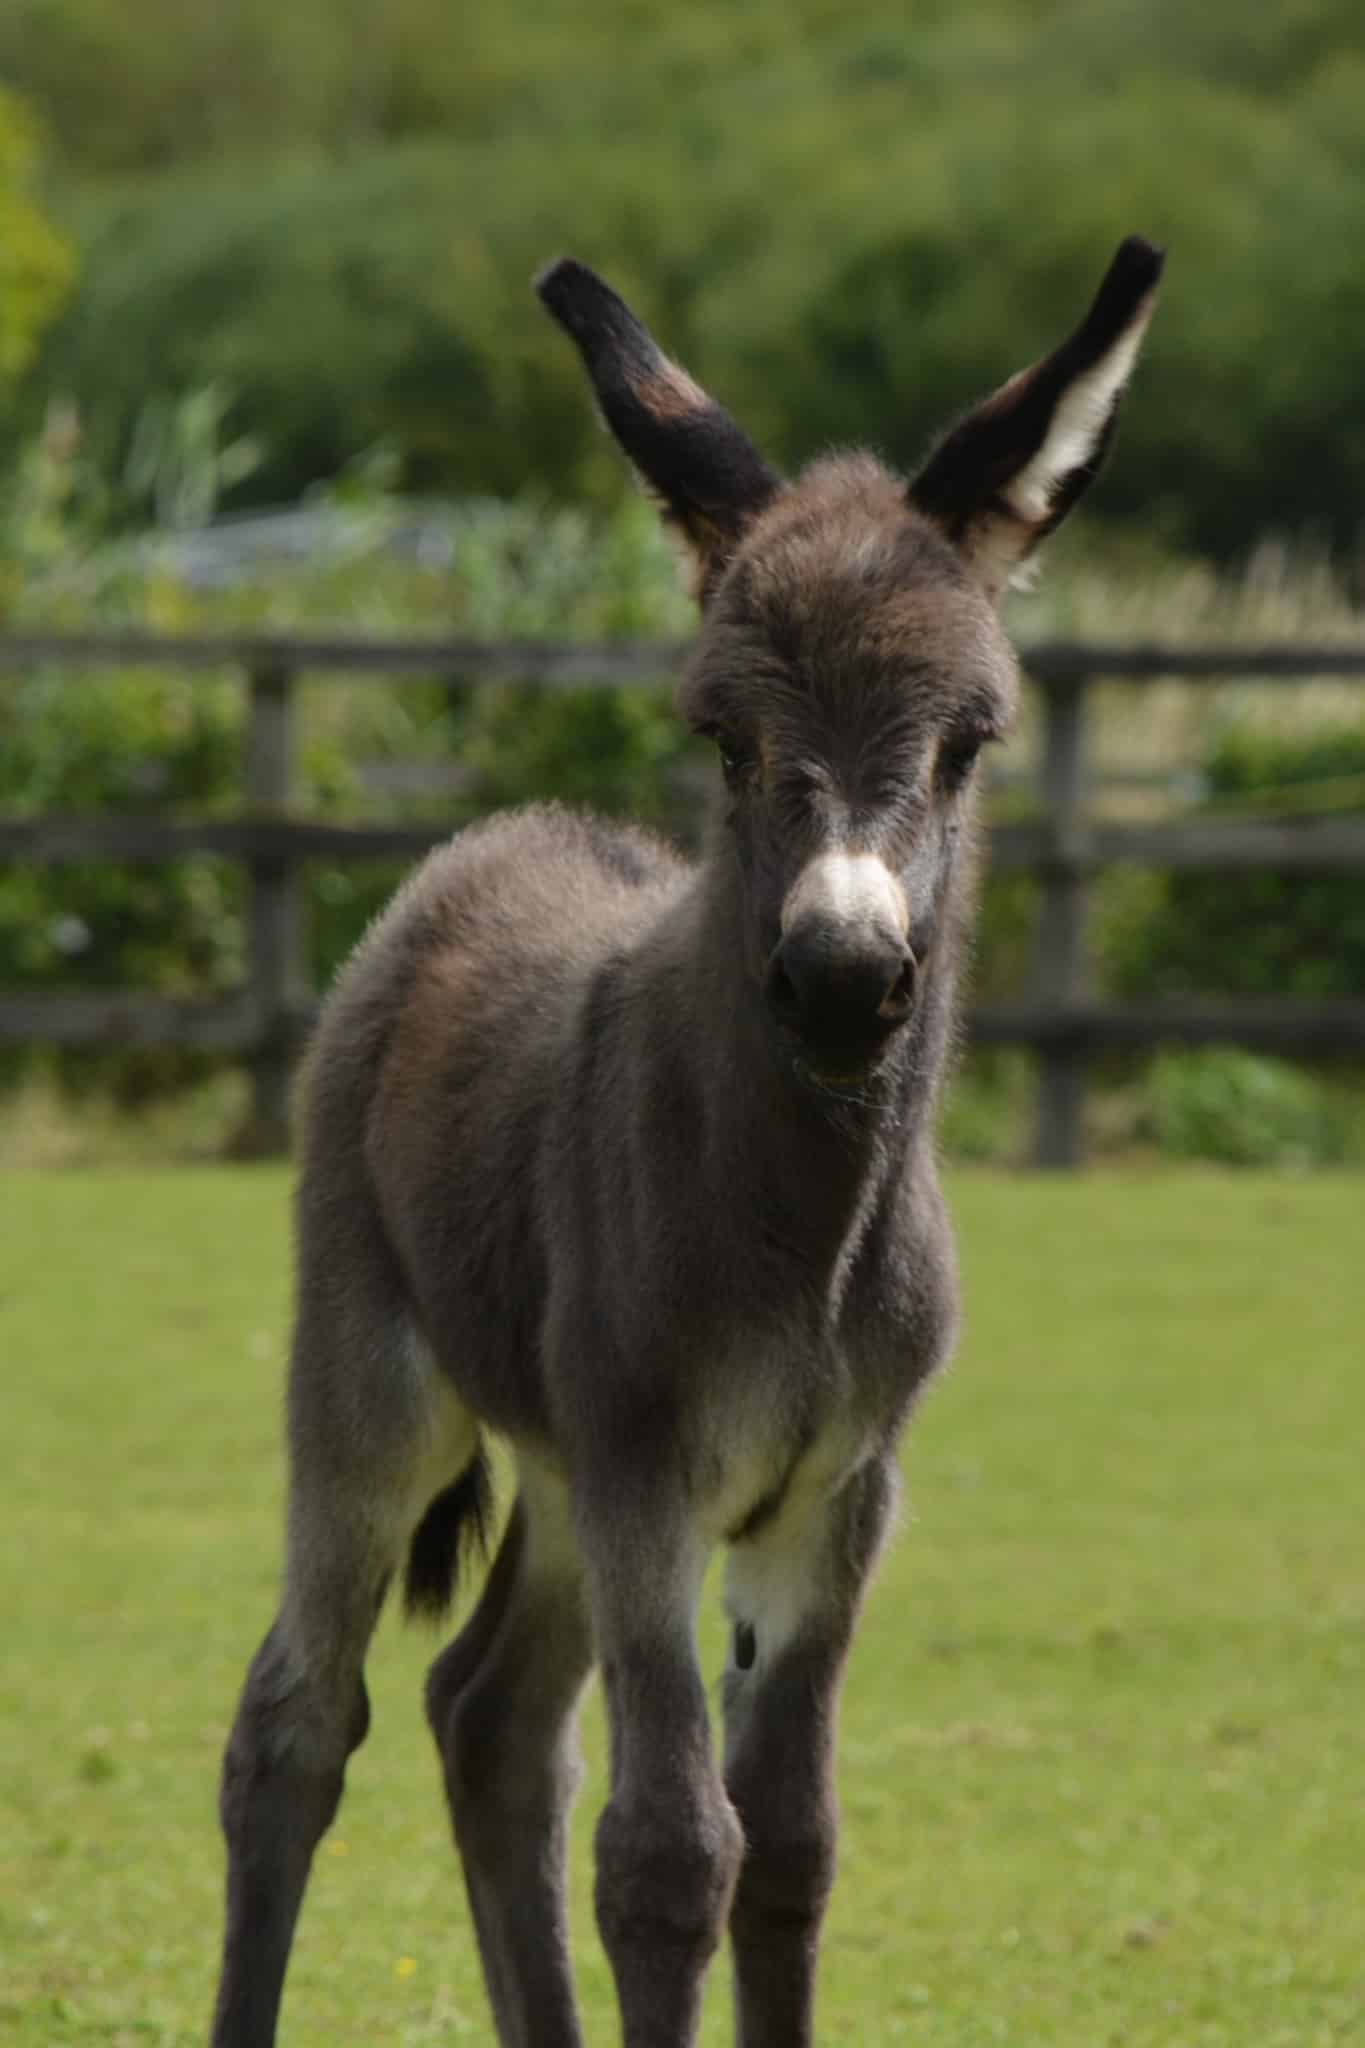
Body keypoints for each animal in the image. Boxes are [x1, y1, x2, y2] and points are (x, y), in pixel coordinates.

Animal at [210, 232, 1162, 2039]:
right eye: (724, 734)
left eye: (967, 741)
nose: (843, 979)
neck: (804, 1220)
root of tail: (499, 840)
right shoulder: (653, 1469)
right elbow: (668, 1853)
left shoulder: (835, 1496)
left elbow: (788, 1846)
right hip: (377, 1386)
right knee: (294, 1724)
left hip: (563, 1468)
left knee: (491, 1722)